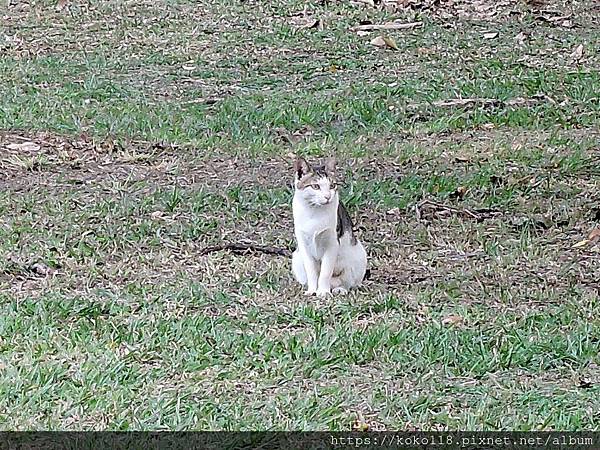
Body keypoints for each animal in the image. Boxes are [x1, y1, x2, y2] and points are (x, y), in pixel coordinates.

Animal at [292, 156, 368, 298]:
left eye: (332, 186)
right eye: (315, 186)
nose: (328, 196)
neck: (315, 212)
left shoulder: (332, 242)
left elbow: (325, 272)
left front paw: (323, 291)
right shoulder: (303, 244)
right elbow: (311, 271)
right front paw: (312, 290)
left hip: (358, 256)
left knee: (347, 281)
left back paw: (340, 289)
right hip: (296, 258)